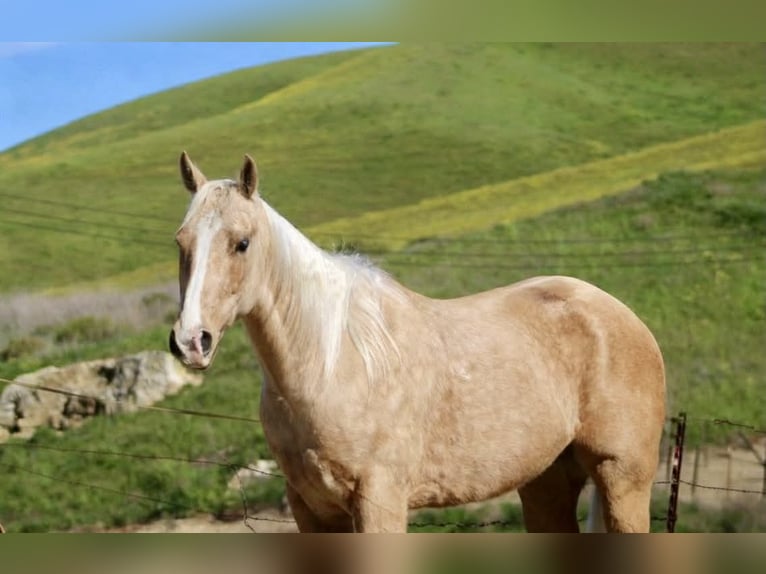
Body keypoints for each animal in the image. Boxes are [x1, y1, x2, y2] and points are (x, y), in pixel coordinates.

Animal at [169, 152, 666, 533]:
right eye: (180, 242)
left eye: (242, 243)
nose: (191, 341)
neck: (334, 363)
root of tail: (618, 314)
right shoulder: (311, 510)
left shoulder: (380, 501)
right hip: (547, 482)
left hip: (622, 478)